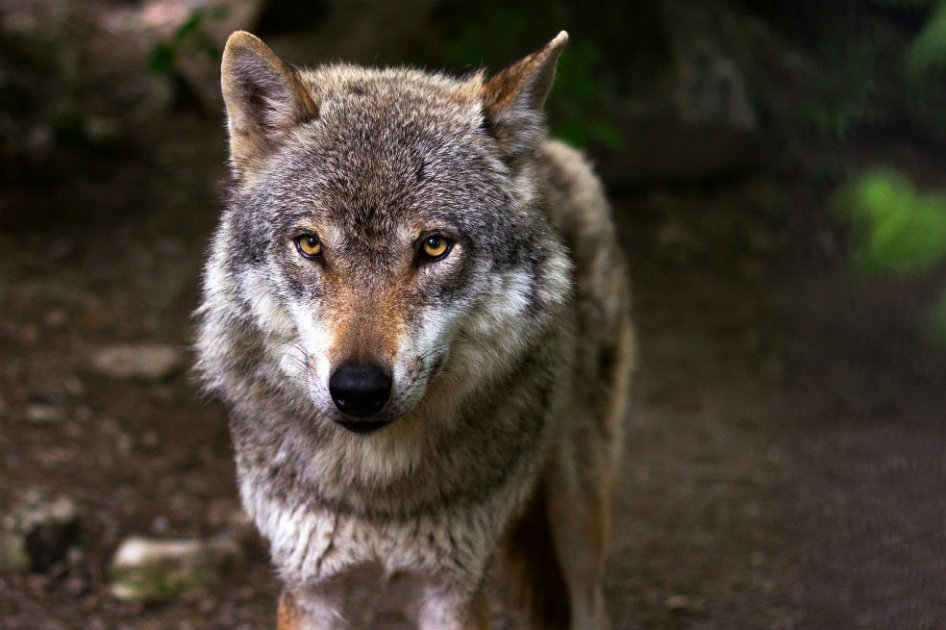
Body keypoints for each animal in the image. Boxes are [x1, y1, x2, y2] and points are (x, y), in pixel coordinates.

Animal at [195, 28, 635, 630]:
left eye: (434, 246)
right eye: (309, 244)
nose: (358, 389)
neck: (378, 490)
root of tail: (551, 151)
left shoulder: (455, 588)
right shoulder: (309, 587)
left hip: (579, 512)